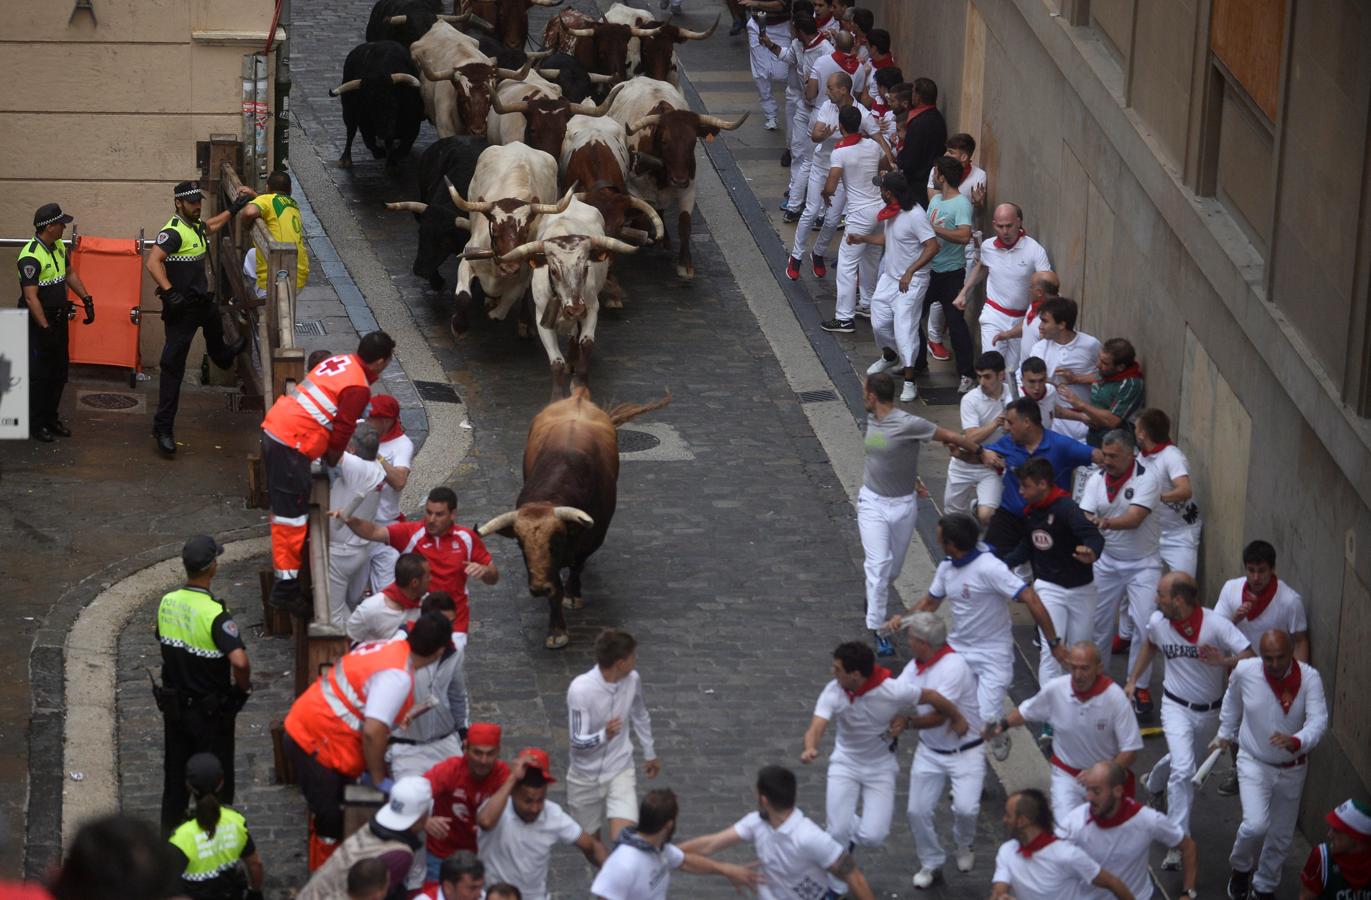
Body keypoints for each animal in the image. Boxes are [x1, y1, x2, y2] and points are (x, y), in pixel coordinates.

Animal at [482, 386, 669, 647]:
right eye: (520, 544)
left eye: (556, 541)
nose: (538, 589)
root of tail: (577, 397)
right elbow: (555, 589)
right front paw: (556, 630)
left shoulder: (593, 537)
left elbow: (577, 566)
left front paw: (573, 595)